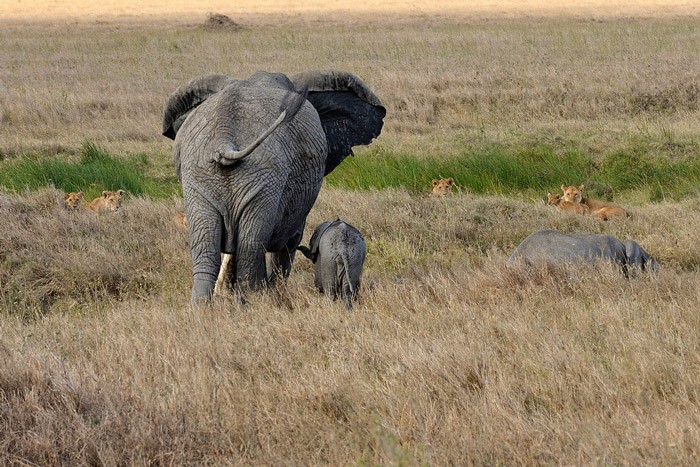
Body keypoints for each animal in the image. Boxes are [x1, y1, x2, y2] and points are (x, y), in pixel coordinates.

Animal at [162, 69, 386, 304]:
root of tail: (224, 141)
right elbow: (290, 240)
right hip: (260, 178)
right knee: (250, 248)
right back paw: (257, 302)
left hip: (205, 176)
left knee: (209, 249)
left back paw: (208, 307)